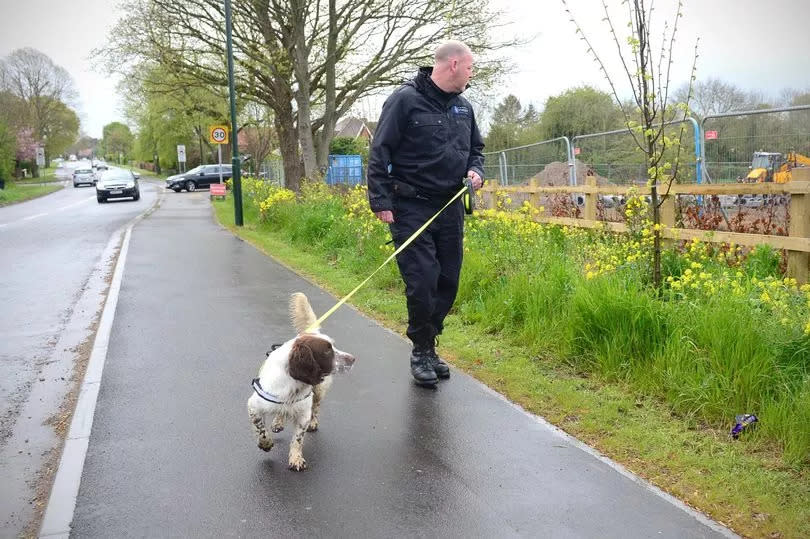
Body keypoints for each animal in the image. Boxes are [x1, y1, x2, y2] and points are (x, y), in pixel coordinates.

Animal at [246, 294, 354, 470]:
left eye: (334, 347)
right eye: (327, 351)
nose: (353, 359)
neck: (292, 384)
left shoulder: (303, 414)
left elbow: (297, 439)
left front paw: (296, 459)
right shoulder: (254, 406)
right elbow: (260, 428)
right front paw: (265, 444)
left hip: (319, 391)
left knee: (316, 407)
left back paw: (313, 423)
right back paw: (277, 422)